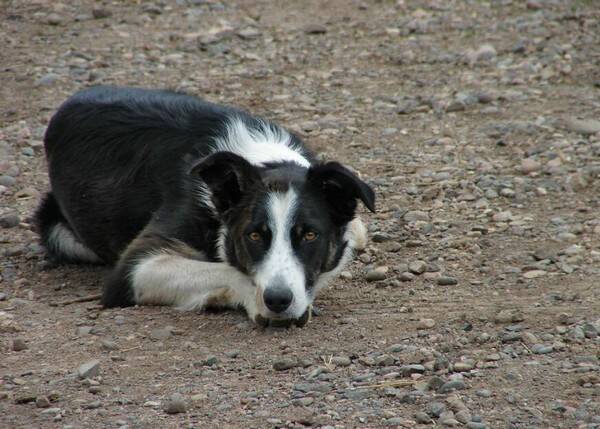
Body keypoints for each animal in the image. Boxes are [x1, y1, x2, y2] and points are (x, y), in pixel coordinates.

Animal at [35, 85, 376, 326]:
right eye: (253, 236)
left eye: (309, 235)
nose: (278, 300)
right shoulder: (134, 266)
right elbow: (226, 271)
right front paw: (253, 300)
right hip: (57, 230)